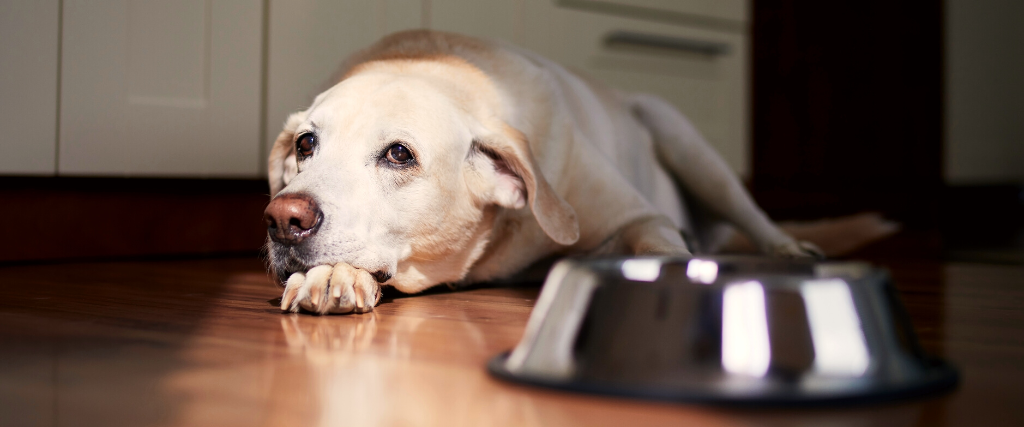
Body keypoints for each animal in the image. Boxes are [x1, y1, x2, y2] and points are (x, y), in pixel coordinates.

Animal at [266, 30, 823, 313]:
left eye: (399, 154)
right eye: (306, 144)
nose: (283, 219)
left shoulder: (638, 217)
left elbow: (658, 246)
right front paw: (331, 276)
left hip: (684, 139)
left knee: (753, 215)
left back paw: (790, 248)